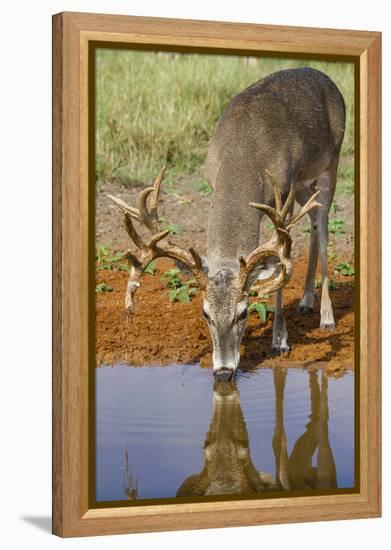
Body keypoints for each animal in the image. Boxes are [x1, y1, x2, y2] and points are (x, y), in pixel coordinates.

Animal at [109, 67, 346, 382]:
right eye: (205, 313)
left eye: (243, 313)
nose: (223, 372)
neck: (244, 153)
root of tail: (323, 75)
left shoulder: (284, 193)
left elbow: (279, 266)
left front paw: (280, 340)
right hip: (305, 185)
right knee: (314, 223)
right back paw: (306, 301)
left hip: (331, 164)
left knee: (323, 230)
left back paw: (326, 317)